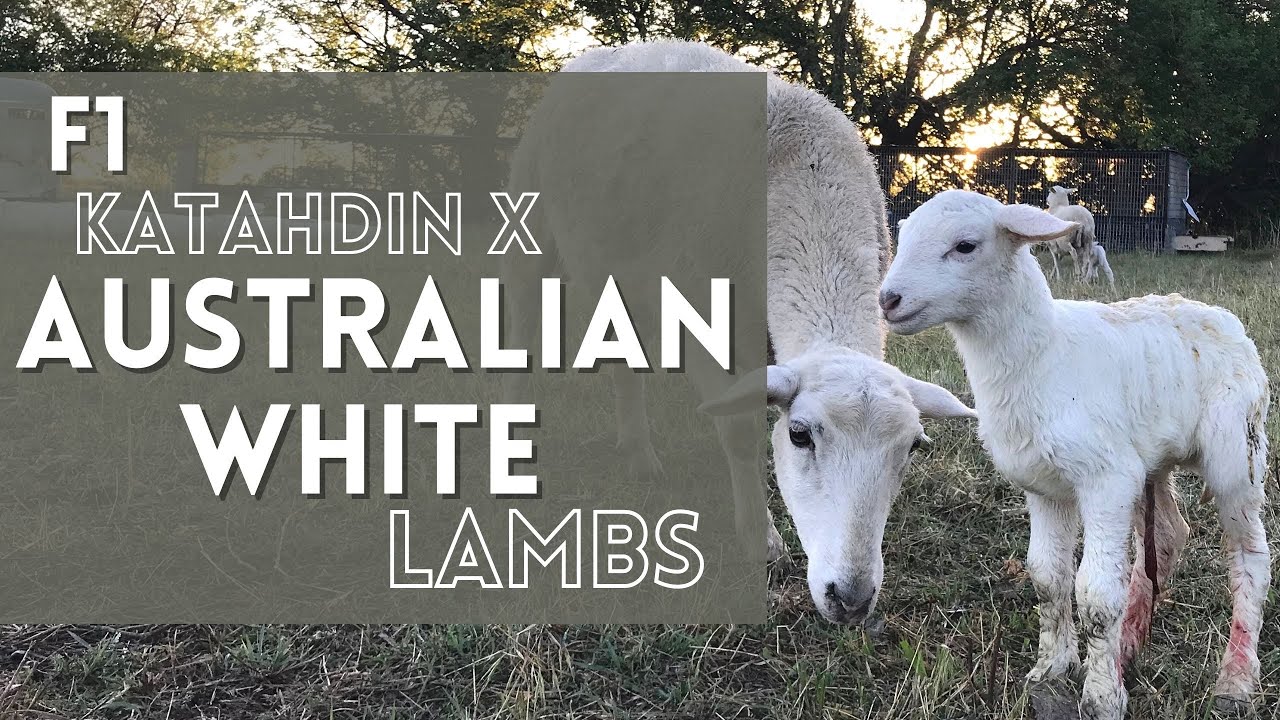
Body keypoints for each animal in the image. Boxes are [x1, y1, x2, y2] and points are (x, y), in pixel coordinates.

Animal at [502, 40, 977, 624]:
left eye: (913, 447)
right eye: (799, 435)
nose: (850, 598)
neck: (804, 173)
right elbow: (738, 432)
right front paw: (761, 540)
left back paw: (639, 454)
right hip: (534, 238)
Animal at [878, 189, 1270, 718]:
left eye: (965, 246)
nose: (888, 300)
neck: (1043, 358)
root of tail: (1224, 318)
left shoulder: (1105, 480)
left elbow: (1098, 596)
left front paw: (1103, 696)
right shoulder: (1045, 486)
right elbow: (1047, 577)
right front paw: (1052, 668)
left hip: (1237, 454)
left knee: (1251, 557)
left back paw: (1235, 678)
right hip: (1148, 463)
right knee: (1170, 535)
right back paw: (1129, 644)